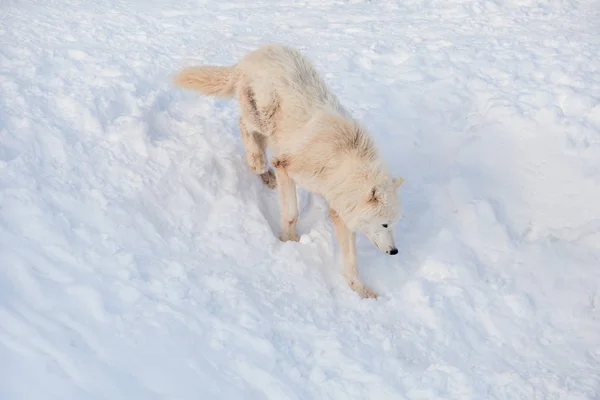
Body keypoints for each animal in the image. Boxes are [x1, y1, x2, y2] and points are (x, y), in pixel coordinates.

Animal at [172, 45, 404, 298]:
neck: (338, 162)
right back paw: (256, 162)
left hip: (272, 131)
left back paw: (265, 175)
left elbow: (351, 260)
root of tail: (253, 55)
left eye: (394, 223)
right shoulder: (287, 168)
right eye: (384, 224)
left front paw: (361, 290)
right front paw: (289, 240)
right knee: (244, 126)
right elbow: (292, 213)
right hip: (263, 119)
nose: (395, 252)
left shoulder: (339, 209)